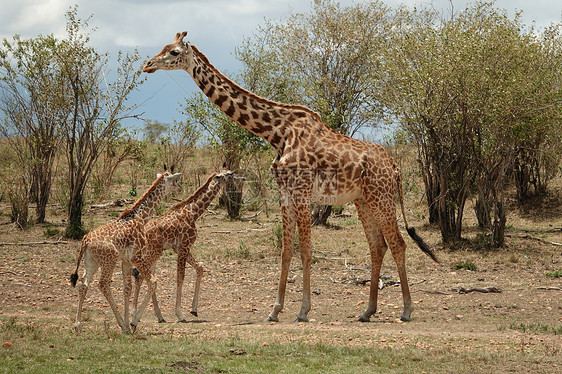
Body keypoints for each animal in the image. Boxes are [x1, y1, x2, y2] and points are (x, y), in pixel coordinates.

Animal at [141, 32, 438, 322]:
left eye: (174, 52)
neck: (276, 132)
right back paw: (367, 312)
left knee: (398, 244)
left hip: (382, 196)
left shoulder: (303, 191)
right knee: (378, 246)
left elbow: (305, 249)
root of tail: (394, 167)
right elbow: (286, 250)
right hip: (363, 199)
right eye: (163, 47)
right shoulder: (285, 193)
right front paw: (275, 310)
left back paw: (407, 310)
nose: (148, 64)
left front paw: (303, 311)